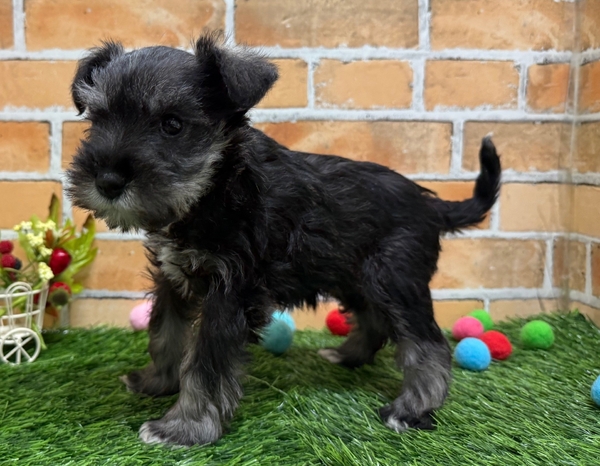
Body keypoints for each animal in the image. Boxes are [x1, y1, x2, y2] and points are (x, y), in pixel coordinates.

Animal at [67, 32, 501, 447]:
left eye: (172, 124)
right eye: (98, 118)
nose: (107, 181)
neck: (214, 189)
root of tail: (431, 205)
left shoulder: (229, 293)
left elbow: (206, 365)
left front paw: (183, 428)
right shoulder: (172, 278)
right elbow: (164, 333)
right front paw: (155, 381)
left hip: (394, 281)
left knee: (428, 346)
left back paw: (409, 409)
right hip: (357, 278)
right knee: (375, 321)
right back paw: (346, 356)